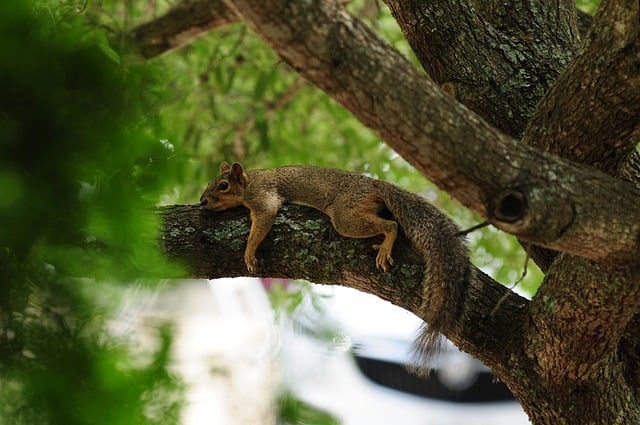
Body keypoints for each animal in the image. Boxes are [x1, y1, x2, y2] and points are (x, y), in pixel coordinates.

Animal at [200, 162, 471, 365]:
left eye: (223, 185)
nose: (202, 201)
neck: (251, 180)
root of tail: (374, 183)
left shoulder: (263, 197)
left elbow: (263, 220)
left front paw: (249, 250)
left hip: (345, 216)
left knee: (391, 225)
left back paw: (386, 244)